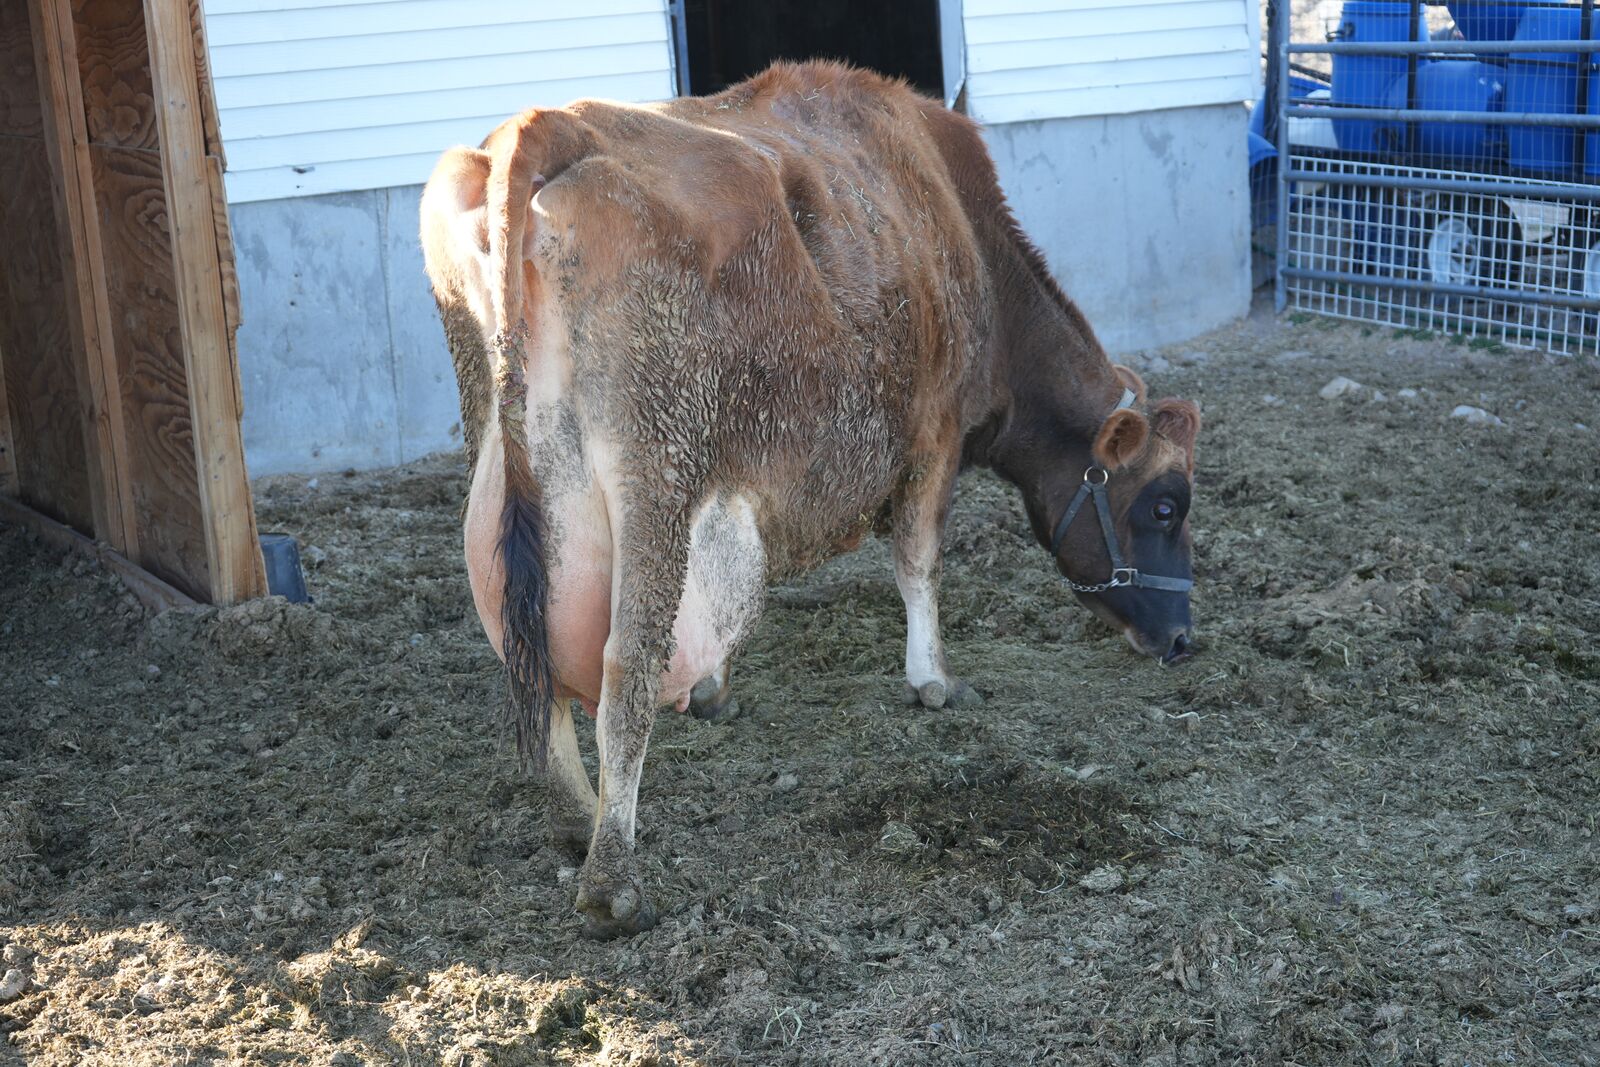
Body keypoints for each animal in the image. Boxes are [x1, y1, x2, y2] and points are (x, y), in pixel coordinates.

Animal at [420, 61, 1202, 938]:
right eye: (1166, 504)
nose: (1182, 639)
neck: (957, 220)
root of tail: (550, 124)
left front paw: (713, 690)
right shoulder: (934, 433)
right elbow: (920, 563)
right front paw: (935, 680)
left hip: (505, 451)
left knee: (527, 641)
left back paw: (574, 818)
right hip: (657, 464)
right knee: (627, 663)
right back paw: (611, 880)